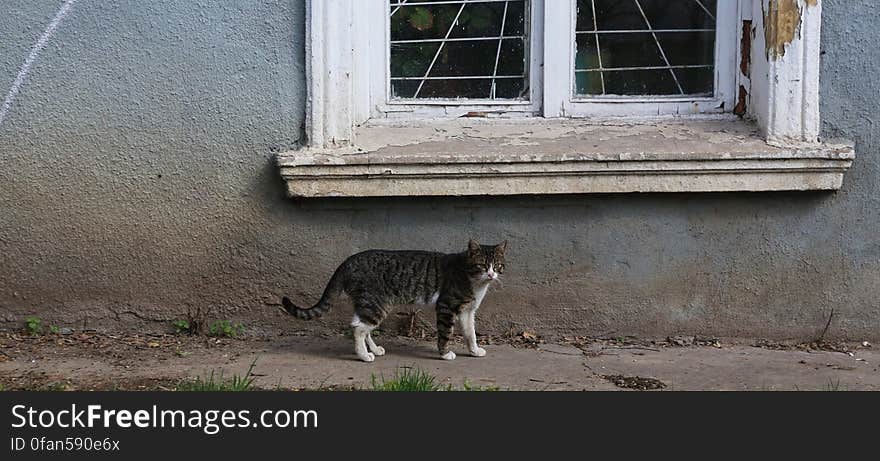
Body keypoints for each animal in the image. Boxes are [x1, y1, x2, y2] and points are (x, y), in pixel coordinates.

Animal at [278, 239, 506, 362]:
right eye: (482, 265)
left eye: (497, 265)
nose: (491, 274)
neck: (474, 282)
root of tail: (348, 261)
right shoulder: (446, 306)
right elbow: (445, 333)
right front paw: (444, 354)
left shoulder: (468, 311)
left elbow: (470, 333)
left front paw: (474, 351)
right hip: (376, 303)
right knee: (358, 329)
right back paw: (364, 356)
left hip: (369, 304)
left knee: (360, 325)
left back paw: (374, 350)